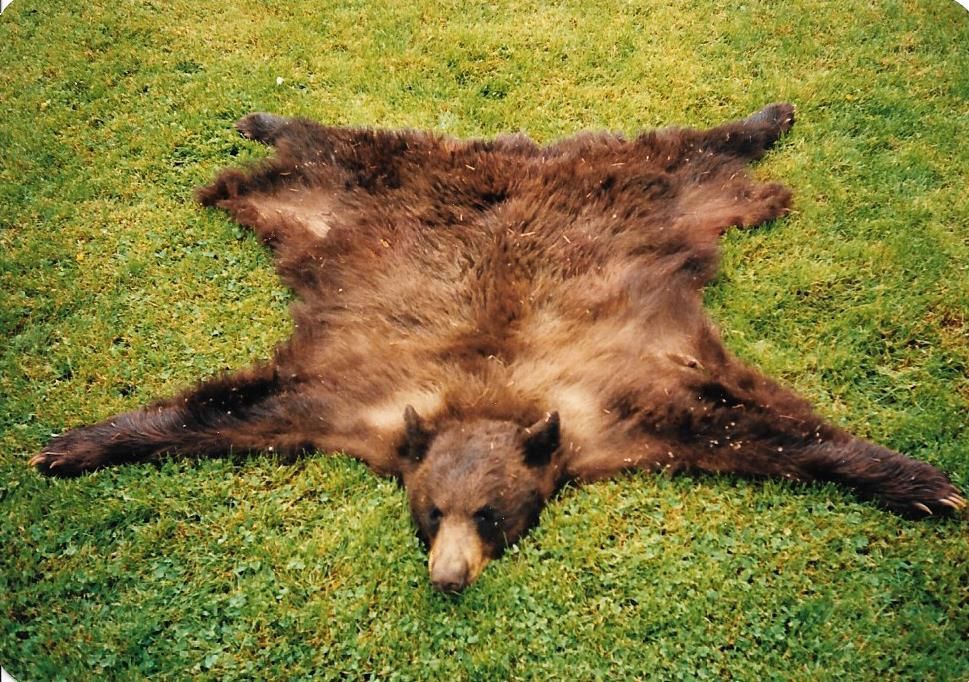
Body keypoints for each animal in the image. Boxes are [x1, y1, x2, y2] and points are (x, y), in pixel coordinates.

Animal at [31, 104, 964, 592]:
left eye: (489, 515)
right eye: (427, 513)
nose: (449, 574)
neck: (485, 392)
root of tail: (517, 161)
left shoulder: (630, 398)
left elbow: (769, 431)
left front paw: (921, 481)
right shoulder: (340, 393)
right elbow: (224, 408)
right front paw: (74, 443)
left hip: (659, 191)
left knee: (696, 148)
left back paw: (769, 115)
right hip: (360, 185)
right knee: (323, 140)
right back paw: (260, 118)